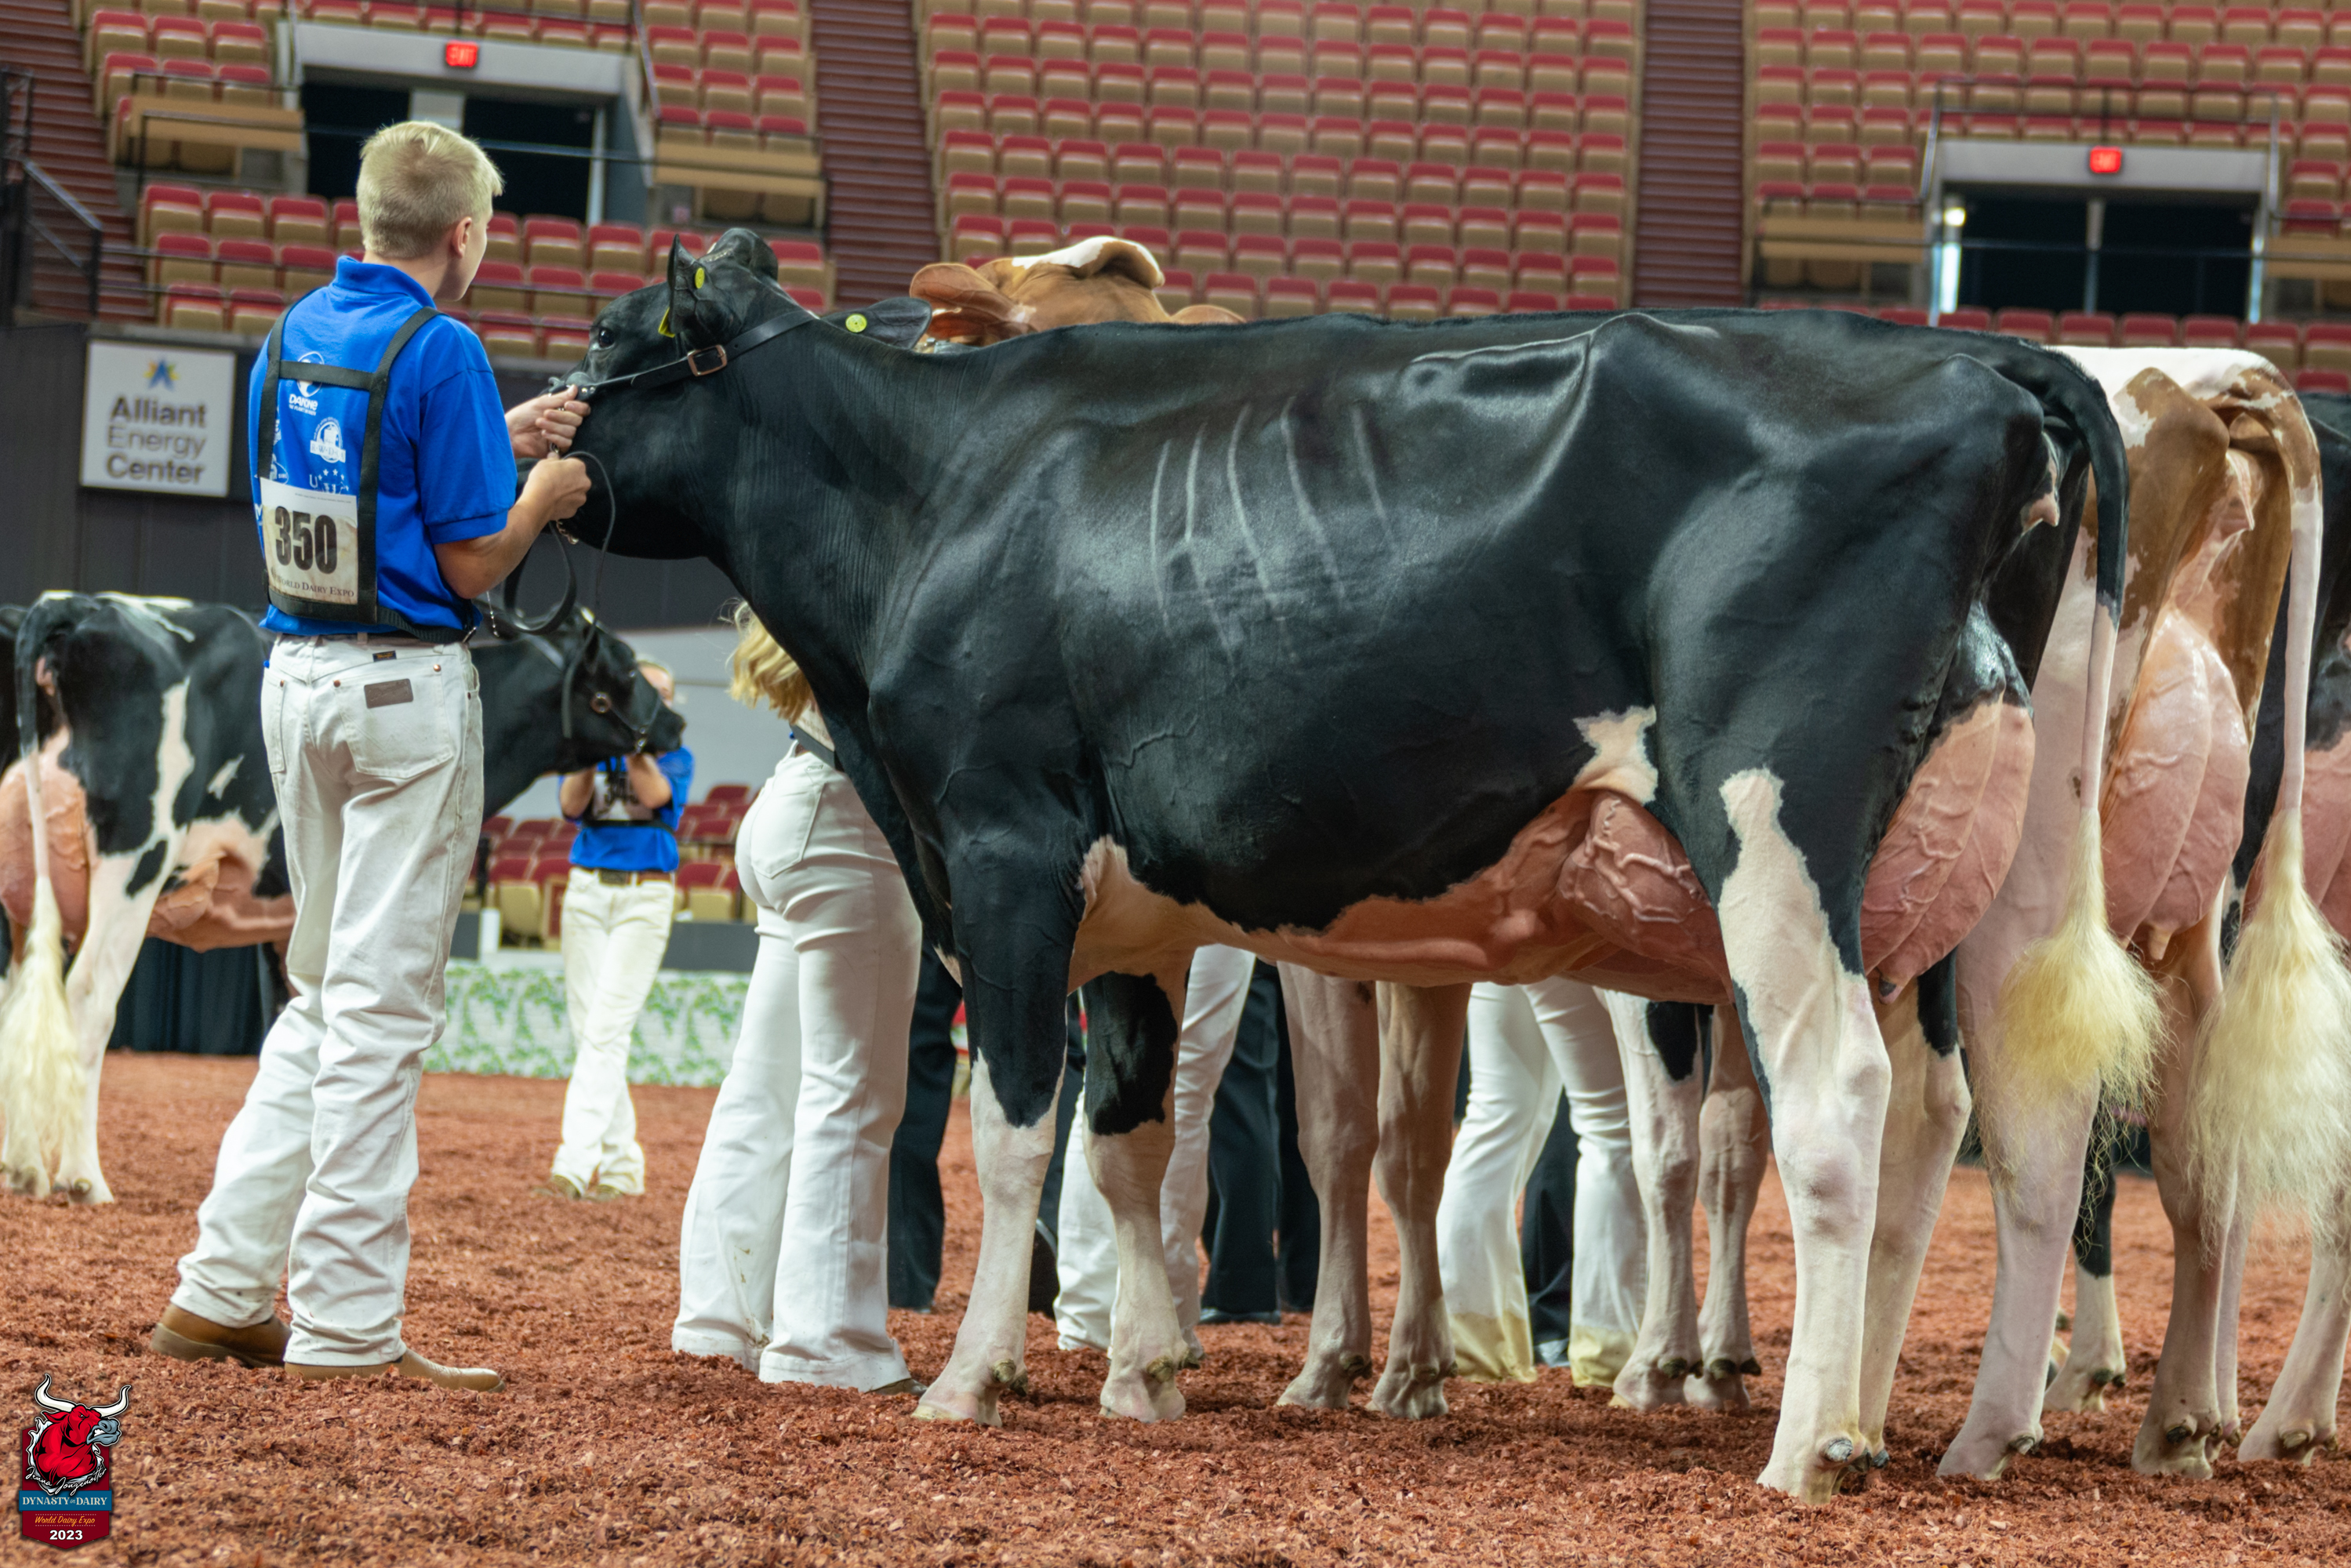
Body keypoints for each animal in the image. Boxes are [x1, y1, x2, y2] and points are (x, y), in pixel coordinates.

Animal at [0, 591, 684, 1204]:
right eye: (626, 665)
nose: (676, 723)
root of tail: (74, 606)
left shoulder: (284, 923)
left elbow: (289, 1028)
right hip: (135, 860)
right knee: (87, 1001)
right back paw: (82, 1178)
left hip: (24, 889)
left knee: (20, 999)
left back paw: (22, 1169)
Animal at [562, 231, 2137, 1501]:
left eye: (611, 336)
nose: (536, 433)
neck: (939, 493)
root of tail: (1982, 362)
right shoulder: (1132, 921)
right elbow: (1129, 1142)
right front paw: (1147, 1376)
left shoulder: (1003, 852)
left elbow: (1017, 1132)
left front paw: (971, 1382)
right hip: (1983, 875)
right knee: (1987, 1118)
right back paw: (1953, 1430)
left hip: (1776, 831)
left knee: (1840, 1105)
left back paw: (1807, 1446)